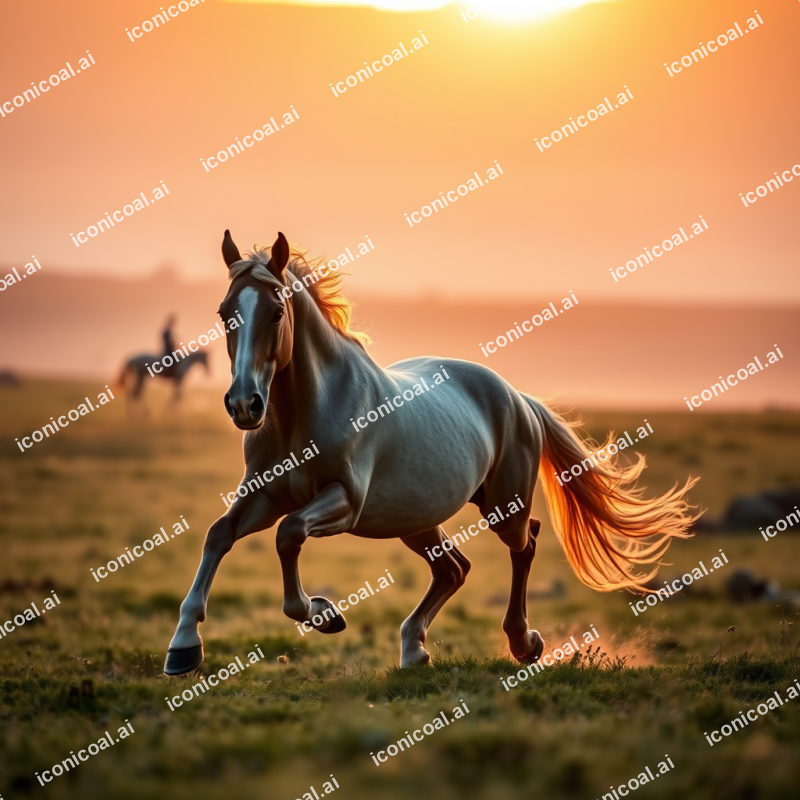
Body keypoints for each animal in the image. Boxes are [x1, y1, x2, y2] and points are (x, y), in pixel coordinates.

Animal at [164, 231, 697, 676]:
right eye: (224, 312)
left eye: (276, 312)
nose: (244, 405)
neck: (307, 414)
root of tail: (517, 397)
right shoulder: (264, 496)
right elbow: (219, 535)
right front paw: (183, 648)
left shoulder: (344, 501)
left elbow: (289, 536)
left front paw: (324, 613)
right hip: (415, 519)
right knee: (453, 569)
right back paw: (413, 648)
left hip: (501, 506)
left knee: (524, 543)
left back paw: (523, 643)